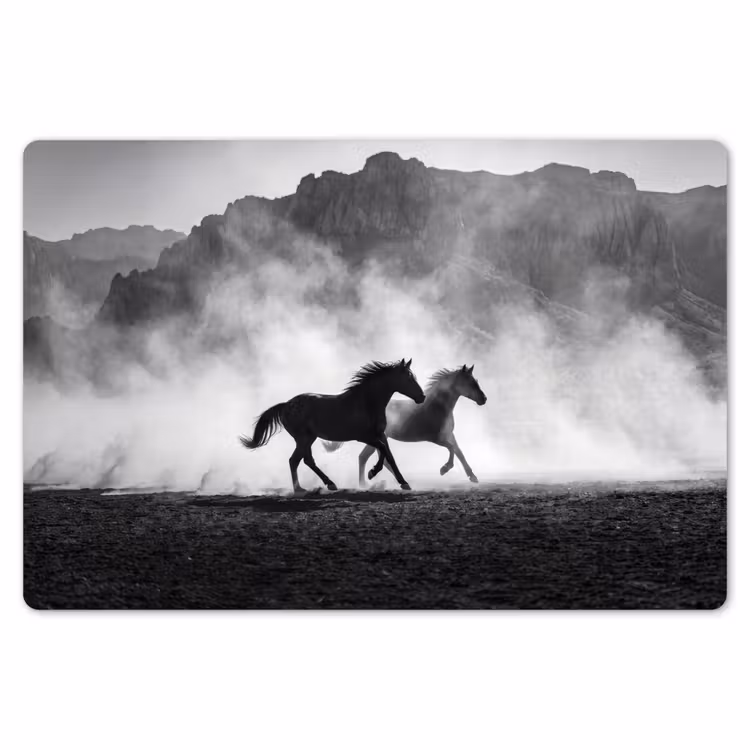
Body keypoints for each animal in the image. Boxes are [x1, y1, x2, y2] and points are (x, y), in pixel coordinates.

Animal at [239, 359, 425, 494]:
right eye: (408, 378)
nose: (422, 397)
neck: (367, 403)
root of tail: (285, 405)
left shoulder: (381, 435)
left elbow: (389, 456)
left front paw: (404, 483)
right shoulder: (364, 437)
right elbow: (383, 451)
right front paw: (372, 472)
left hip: (309, 438)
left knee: (305, 460)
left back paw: (327, 484)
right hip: (303, 438)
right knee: (295, 460)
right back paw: (302, 489)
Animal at [324, 364, 486, 486]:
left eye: (476, 381)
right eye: (470, 383)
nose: (484, 399)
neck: (437, 408)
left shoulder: (448, 434)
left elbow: (460, 452)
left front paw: (473, 477)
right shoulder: (435, 438)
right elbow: (452, 449)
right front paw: (444, 469)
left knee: (367, 457)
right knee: (368, 457)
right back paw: (370, 482)